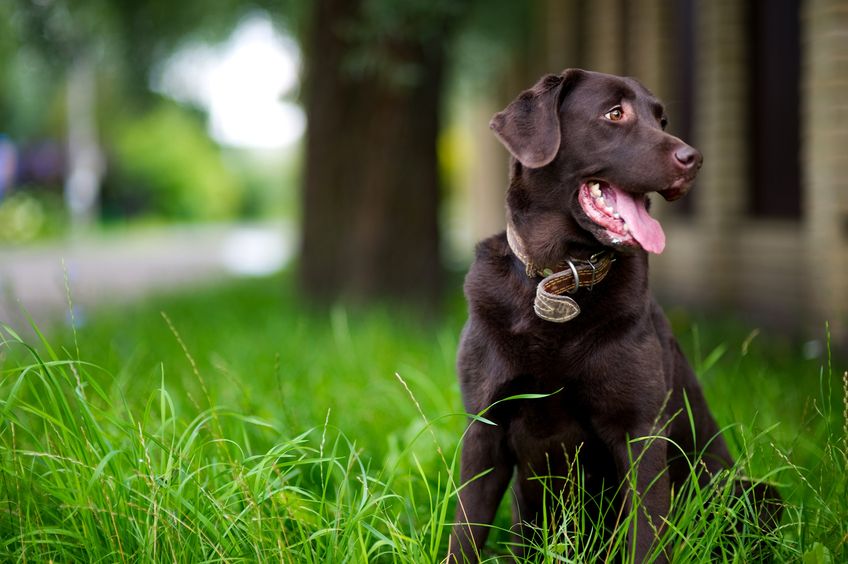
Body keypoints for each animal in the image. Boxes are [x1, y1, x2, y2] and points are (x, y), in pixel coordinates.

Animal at [450, 70, 780, 564]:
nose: (694, 158)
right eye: (614, 113)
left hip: (752, 491)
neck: (563, 277)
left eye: (661, 120)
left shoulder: (639, 432)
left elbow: (645, 536)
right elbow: (464, 534)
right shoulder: (485, 429)